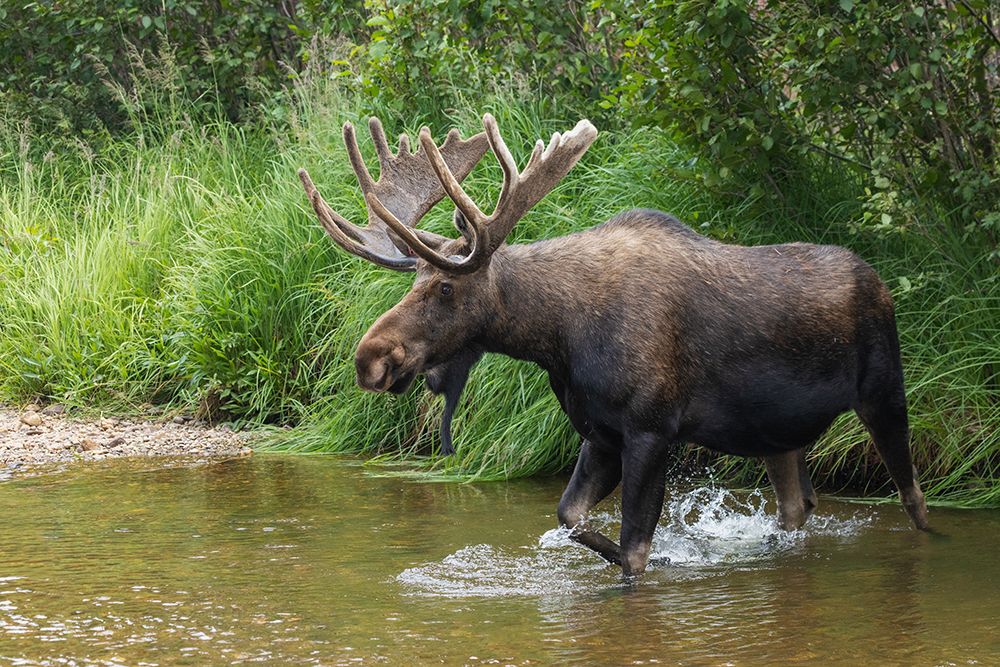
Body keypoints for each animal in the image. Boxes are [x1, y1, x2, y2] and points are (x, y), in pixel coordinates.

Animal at [298, 114, 930, 577]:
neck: (557, 338)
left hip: (884, 392)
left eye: (446, 286)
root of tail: (880, 282)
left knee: (912, 497)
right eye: (415, 281)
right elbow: (569, 516)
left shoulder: (652, 429)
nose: (370, 359)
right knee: (799, 507)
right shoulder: (600, 434)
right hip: (776, 431)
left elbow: (633, 549)